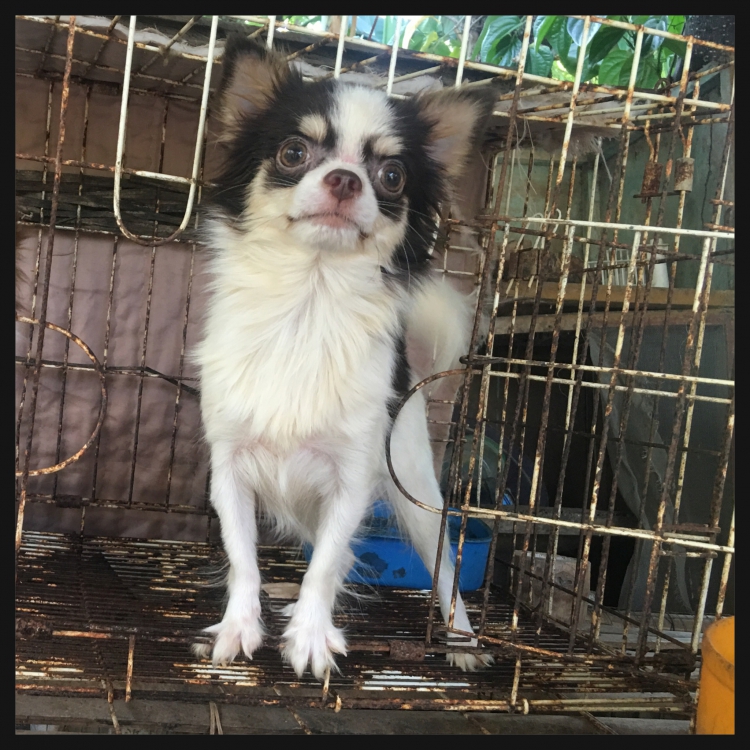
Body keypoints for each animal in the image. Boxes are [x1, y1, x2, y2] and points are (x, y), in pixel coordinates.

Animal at [194, 34, 496, 679]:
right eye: (293, 152)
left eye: (391, 175)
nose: (344, 180)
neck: (309, 304)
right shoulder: (230, 470)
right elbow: (243, 556)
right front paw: (239, 625)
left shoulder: (352, 478)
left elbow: (329, 561)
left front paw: (309, 638)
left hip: (414, 486)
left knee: (445, 571)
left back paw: (462, 641)